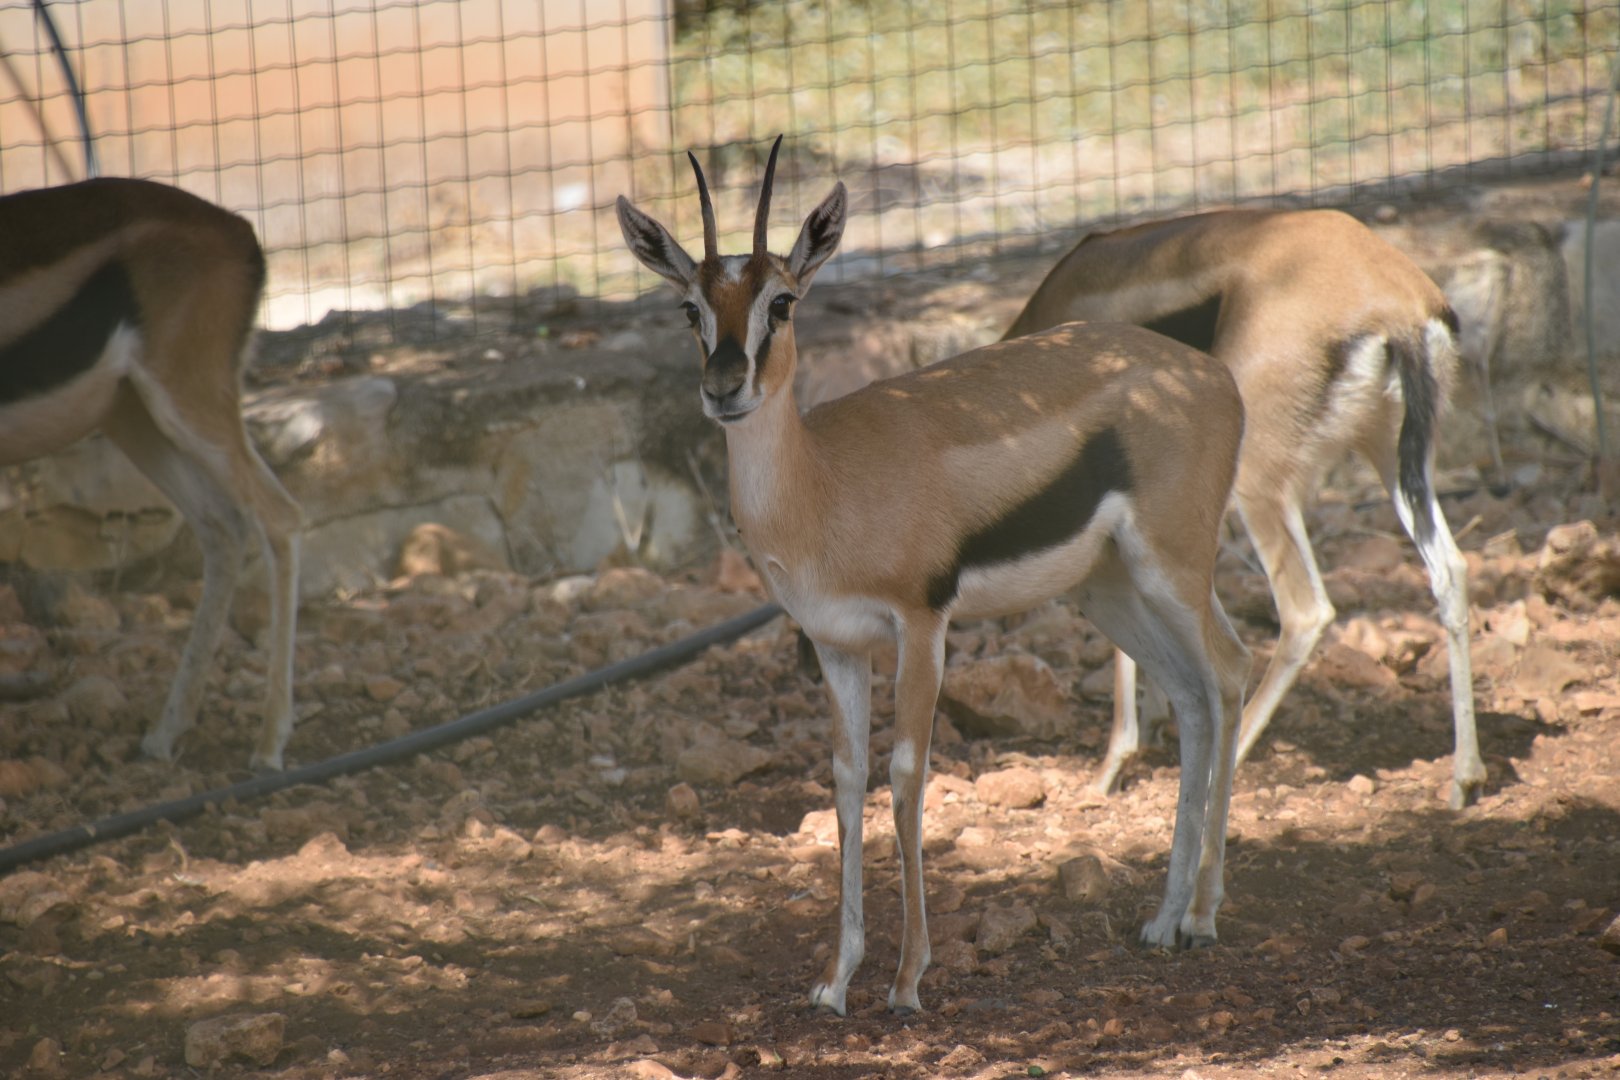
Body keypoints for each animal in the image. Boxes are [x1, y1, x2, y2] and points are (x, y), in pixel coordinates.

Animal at [0, 177, 303, 770]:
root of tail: (239, 230)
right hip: (133, 414)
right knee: (223, 526)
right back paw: (166, 734)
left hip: (181, 399)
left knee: (278, 516)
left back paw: (268, 747)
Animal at [618, 138, 1251, 1015]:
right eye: (690, 309)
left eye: (782, 301)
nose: (723, 389)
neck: (824, 486)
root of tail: (1212, 377)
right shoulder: (836, 646)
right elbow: (847, 781)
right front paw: (834, 980)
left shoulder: (920, 626)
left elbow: (906, 774)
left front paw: (908, 978)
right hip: (1110, 591)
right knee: (1190, 697)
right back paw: (1161, 921)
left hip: (1173, 569)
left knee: (1229, 673)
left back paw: (1202, 916)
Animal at [1005, 208, 1483, 809]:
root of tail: (1394, 301)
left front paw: (1112, 766)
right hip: (1391, 456)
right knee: (1451, 570)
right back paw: (1465, 778)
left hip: (1260, 481)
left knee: (1306, 611)